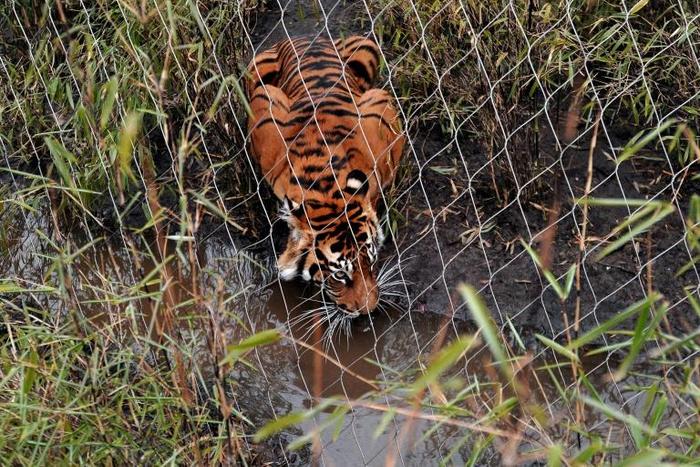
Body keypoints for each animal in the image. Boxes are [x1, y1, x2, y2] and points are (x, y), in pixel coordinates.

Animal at [245, 35, 405, 315]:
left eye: (371, 260)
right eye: (340, 275)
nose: (368, 310)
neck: (327, 187)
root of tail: (303, 38)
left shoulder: (381, 111)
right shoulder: (264, 110)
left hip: (367, 52)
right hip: (255, 73)